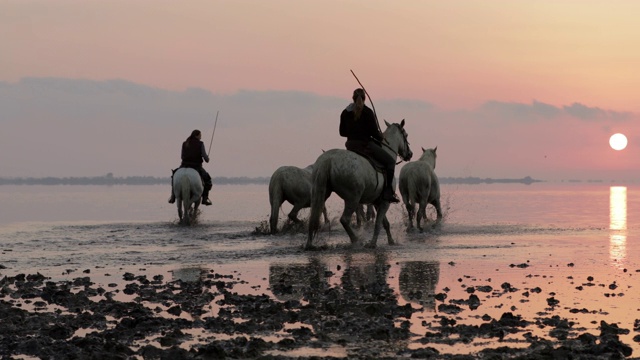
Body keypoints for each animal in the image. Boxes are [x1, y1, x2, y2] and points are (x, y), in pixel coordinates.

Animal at [308, 119, 412, 249]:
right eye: (406, 135)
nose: (410, 154)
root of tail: (328, 159)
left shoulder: (377, 202)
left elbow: (385, 223)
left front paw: (391, 241)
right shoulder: (385, 202)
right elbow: (378, 223)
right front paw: (372, 243)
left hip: (320, 194)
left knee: (313, 218)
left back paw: (309, 244)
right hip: (353, 198)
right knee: (344, 219)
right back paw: (356, 240)